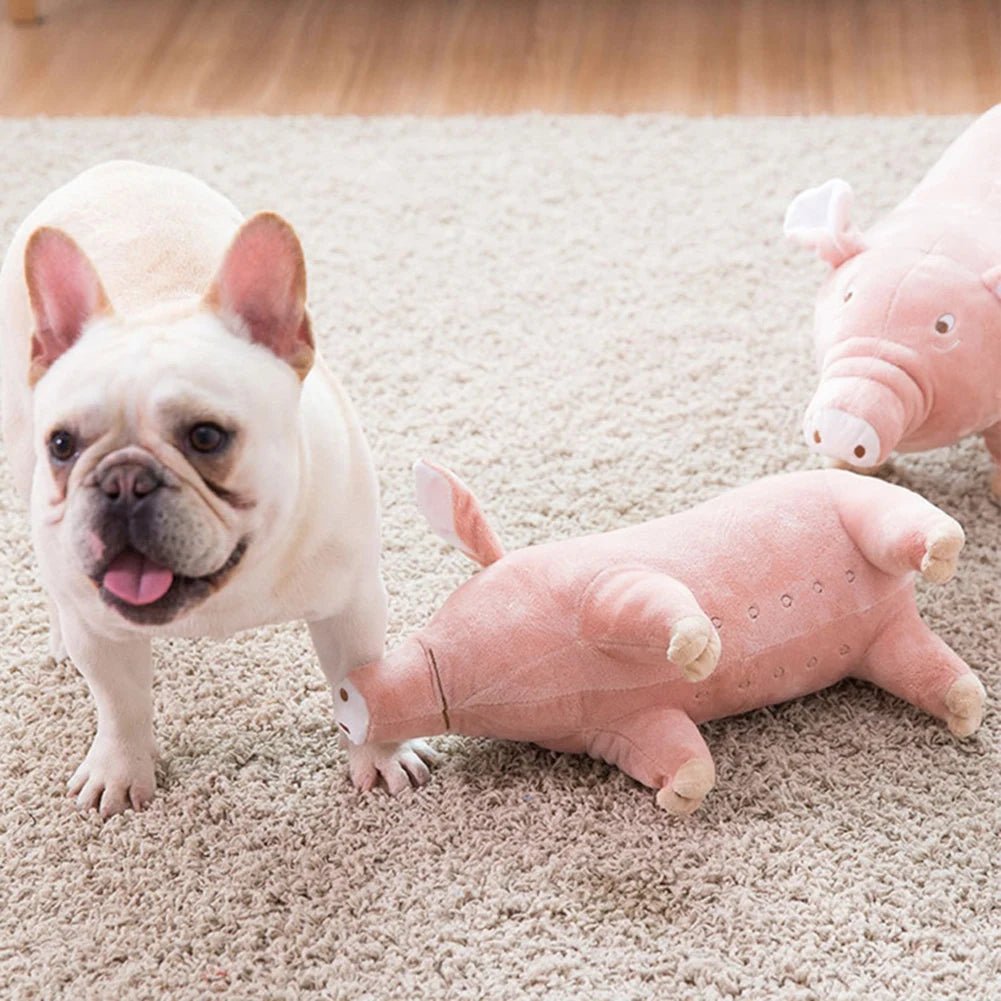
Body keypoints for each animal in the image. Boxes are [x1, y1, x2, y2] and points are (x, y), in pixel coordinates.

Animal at [0, 162, 432, 812]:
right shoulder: (101, 633)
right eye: (63, 445)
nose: (124, 481)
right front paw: (121, 770)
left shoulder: (352, 605)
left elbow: (362, 681)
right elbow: (120, 703)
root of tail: (112, 169)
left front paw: (380, 756)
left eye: (206, 437)